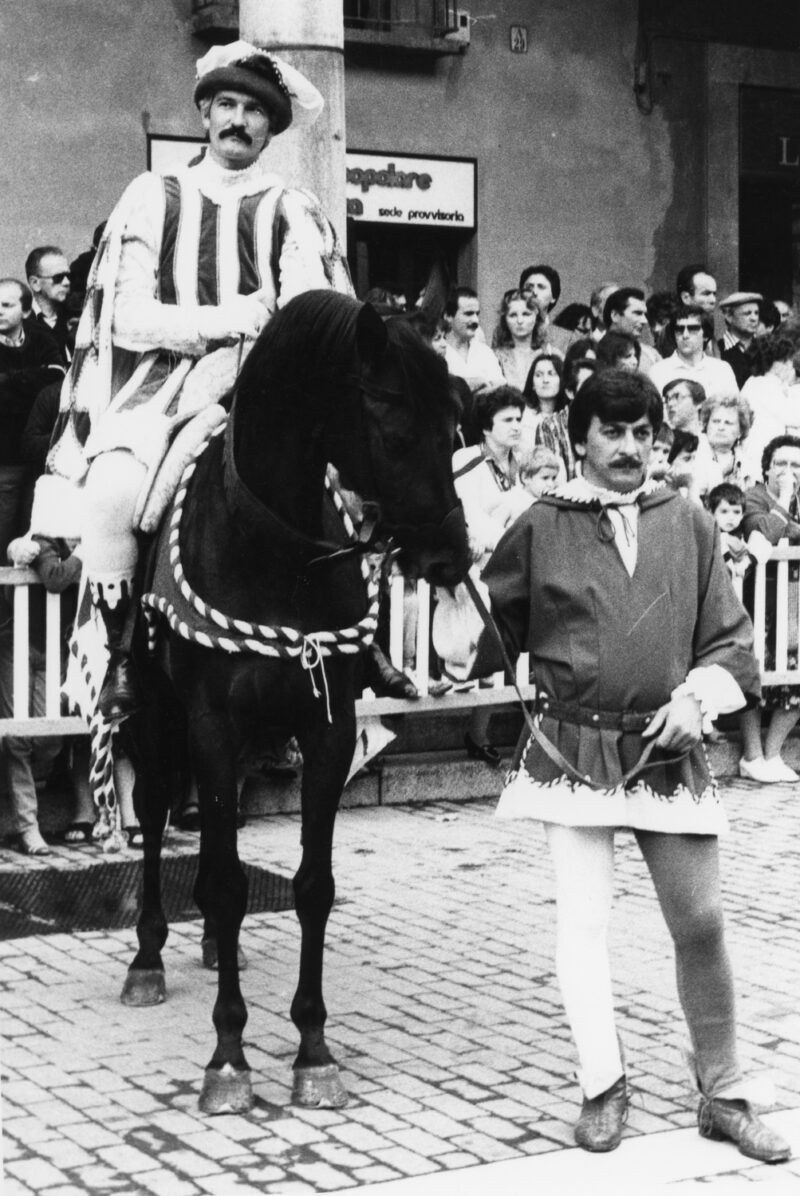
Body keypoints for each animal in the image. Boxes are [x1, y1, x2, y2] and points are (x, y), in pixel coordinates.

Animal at [116, 289, 470, 1115]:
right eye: (394, 429)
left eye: (454, 423)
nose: (451, 555)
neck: (272, 549)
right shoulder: (210, 726)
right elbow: (224, 883)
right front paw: (228, 1056)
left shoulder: (326, 730)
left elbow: (311, 886)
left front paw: (313, 1048)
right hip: (157, 712)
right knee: (154, 808)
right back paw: (149, 955)